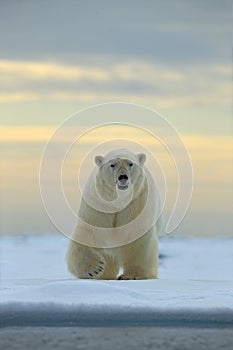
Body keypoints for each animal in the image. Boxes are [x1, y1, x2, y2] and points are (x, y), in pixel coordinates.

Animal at [66, 149, 159, 280]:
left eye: (130, 163)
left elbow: (136, 235)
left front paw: (132, 275)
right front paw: (94, 269)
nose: (123, 177)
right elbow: (89, 231)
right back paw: (104, 275)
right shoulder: (100, 203)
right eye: (112, 164)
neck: (119, 201)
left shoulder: (136, 203)